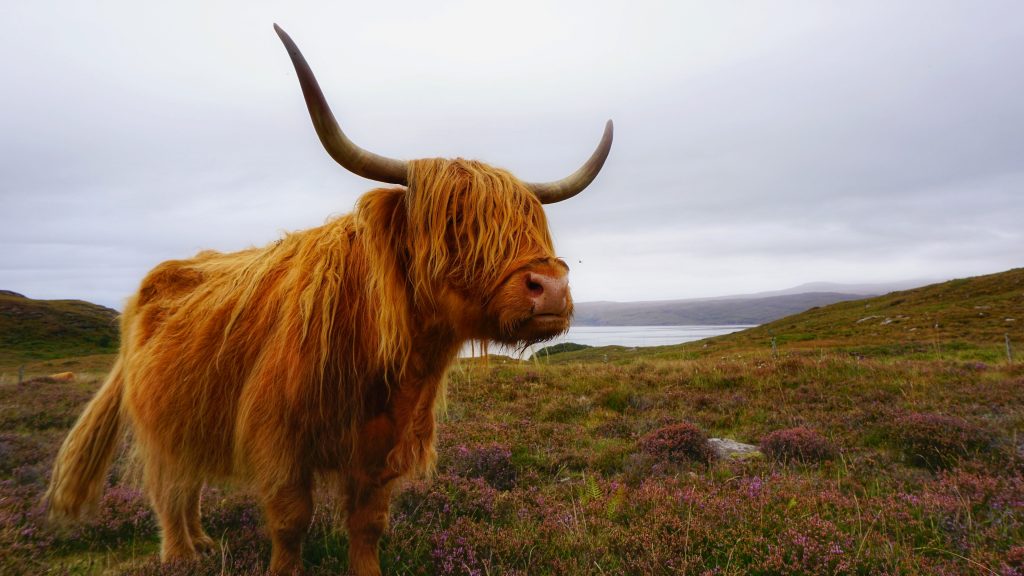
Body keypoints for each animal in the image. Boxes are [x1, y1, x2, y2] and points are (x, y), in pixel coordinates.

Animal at [45, 24, 612, 576]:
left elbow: (368, 523)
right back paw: (180, 555)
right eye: (453, 222)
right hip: (161, 419)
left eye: (534, 222)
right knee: (168, 486)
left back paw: (202, 543)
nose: (551, 286)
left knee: (188, 484)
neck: (388, 368)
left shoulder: (382, 451)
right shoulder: (279, 443)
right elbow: (291, 521)